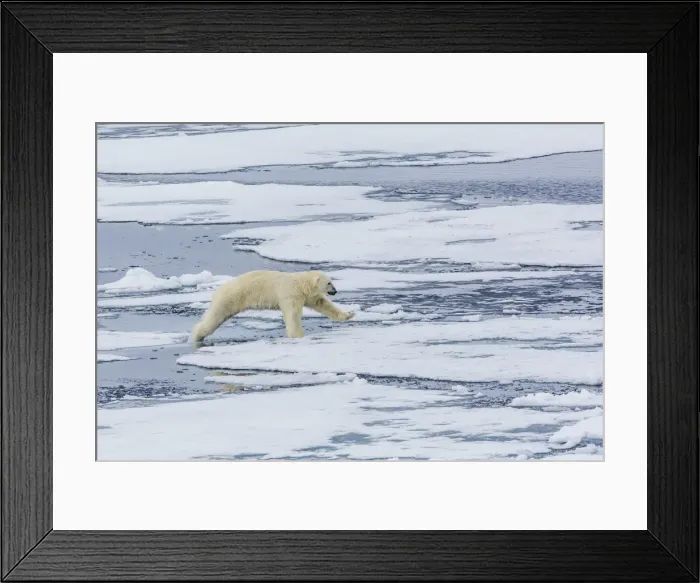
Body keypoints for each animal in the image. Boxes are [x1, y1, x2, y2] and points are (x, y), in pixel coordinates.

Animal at [191, 270, 355, 341]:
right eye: (329, 283)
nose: (335, 291)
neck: (301, 284)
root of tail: (218, 289)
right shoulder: (290, 294)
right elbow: (293, 315)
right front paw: (298, 335)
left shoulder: (308, 296)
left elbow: (324, 304)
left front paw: (349, 314)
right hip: (230, 298)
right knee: (215, 316)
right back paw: (197, 335)